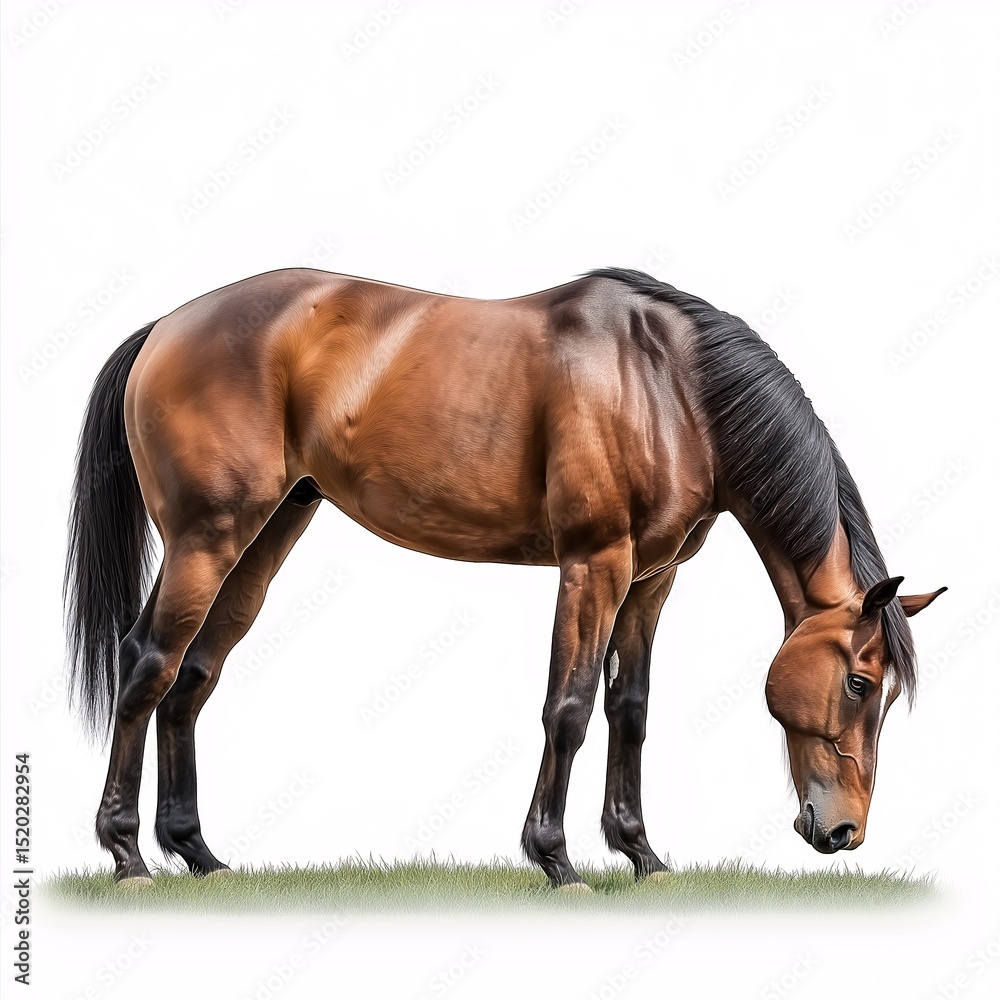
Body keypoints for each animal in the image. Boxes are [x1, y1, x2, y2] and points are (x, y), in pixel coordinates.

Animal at [64, 266, 945, 889]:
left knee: (194, 675)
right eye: (862, 683)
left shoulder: (650, 579)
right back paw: (128, 857)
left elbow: (629, 710)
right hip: (206, 539)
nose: (844, 832)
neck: (670, 384)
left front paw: (641, 855)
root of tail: (167, 325)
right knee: (148, 663)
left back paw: (198, 855)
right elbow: (570, 707)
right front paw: (556, 859)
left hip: (264, 537)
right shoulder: (594, 563)